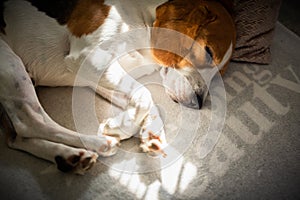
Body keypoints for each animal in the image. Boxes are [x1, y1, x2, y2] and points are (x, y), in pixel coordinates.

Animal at [0, 0, 234, 173]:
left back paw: (70, 157)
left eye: (220, 72)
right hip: (9, 63)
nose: (198, 103)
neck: (142, 18)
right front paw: (117, 130)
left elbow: (147, 102)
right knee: (30, 121)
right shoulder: (89, 59)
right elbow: (145, 94)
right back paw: (99, 143)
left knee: (17, 138)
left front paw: (143, 131)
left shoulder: (93, 75)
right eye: (208, 53)